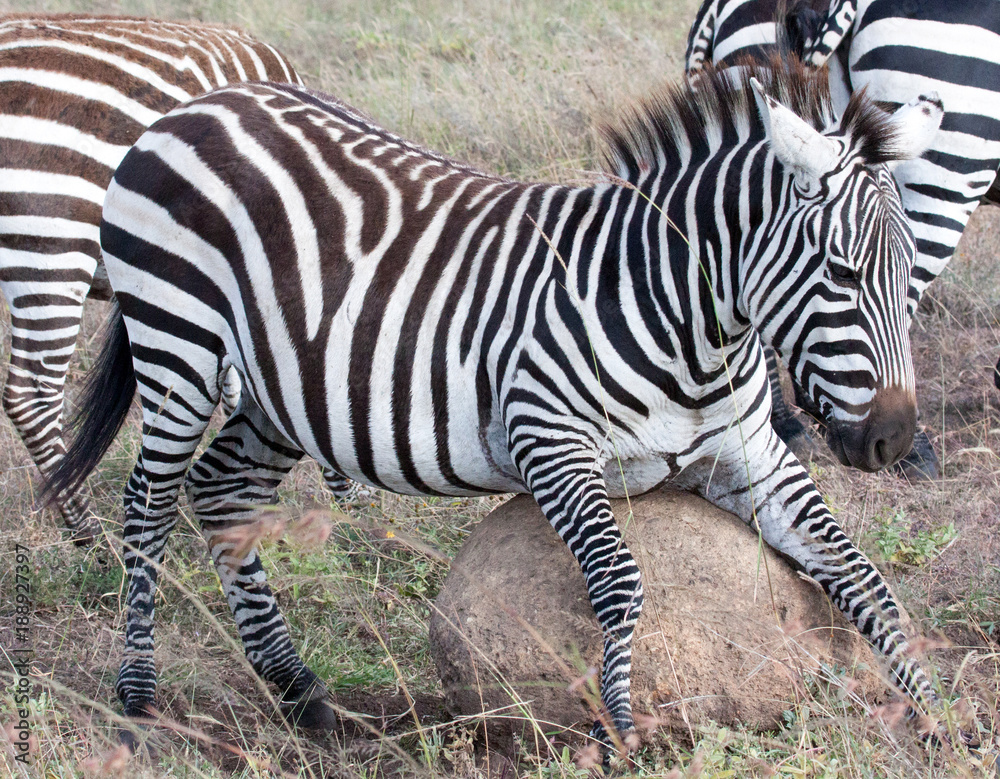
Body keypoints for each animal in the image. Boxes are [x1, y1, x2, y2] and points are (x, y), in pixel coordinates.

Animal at [46, 59, 944, 749]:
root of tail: (199, 106)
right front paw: (620, 728)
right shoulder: (549, 439)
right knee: (149, 501)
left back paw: (302, 693)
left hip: (279, 388)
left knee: (223, 489)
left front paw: (939, 713)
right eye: (841, 272)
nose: (893, 441)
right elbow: (621, 580)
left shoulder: (749, 453)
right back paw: (138, 698)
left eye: (911, 273)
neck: (689, 324)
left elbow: (861, 575)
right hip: (180, 344)